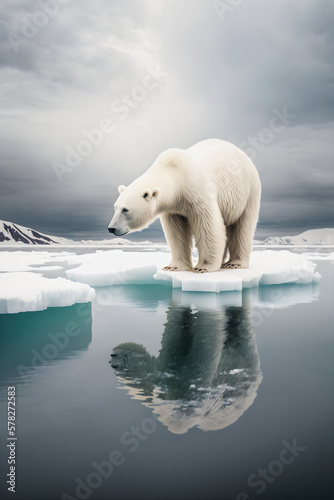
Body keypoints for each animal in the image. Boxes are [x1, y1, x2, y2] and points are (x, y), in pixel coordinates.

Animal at [108, 138, 262, 274]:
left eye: (125, 209)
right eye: (115, 207)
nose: (111, 228)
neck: (175, 175)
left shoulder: (197, 191)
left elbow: (208, 226)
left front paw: (202, 268)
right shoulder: (173, 208)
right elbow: (176, 232)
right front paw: (174, 267)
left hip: (248, 191)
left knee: (242, 226)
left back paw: (234, 263)